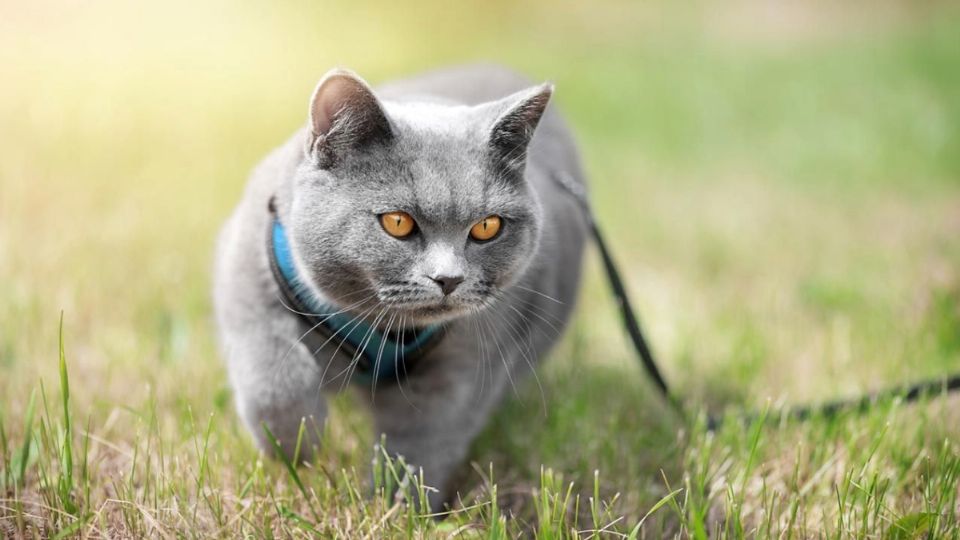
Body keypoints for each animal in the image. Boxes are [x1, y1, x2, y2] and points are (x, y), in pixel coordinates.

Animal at [214, 63, 588, 510]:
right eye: (397, 222)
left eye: (487, 226)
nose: (449, 278)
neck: (376, 326)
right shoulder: (248, 266)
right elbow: (271, 367)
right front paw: (295, 447)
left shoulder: (462, 368)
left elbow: (420, 445)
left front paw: (395, 507)